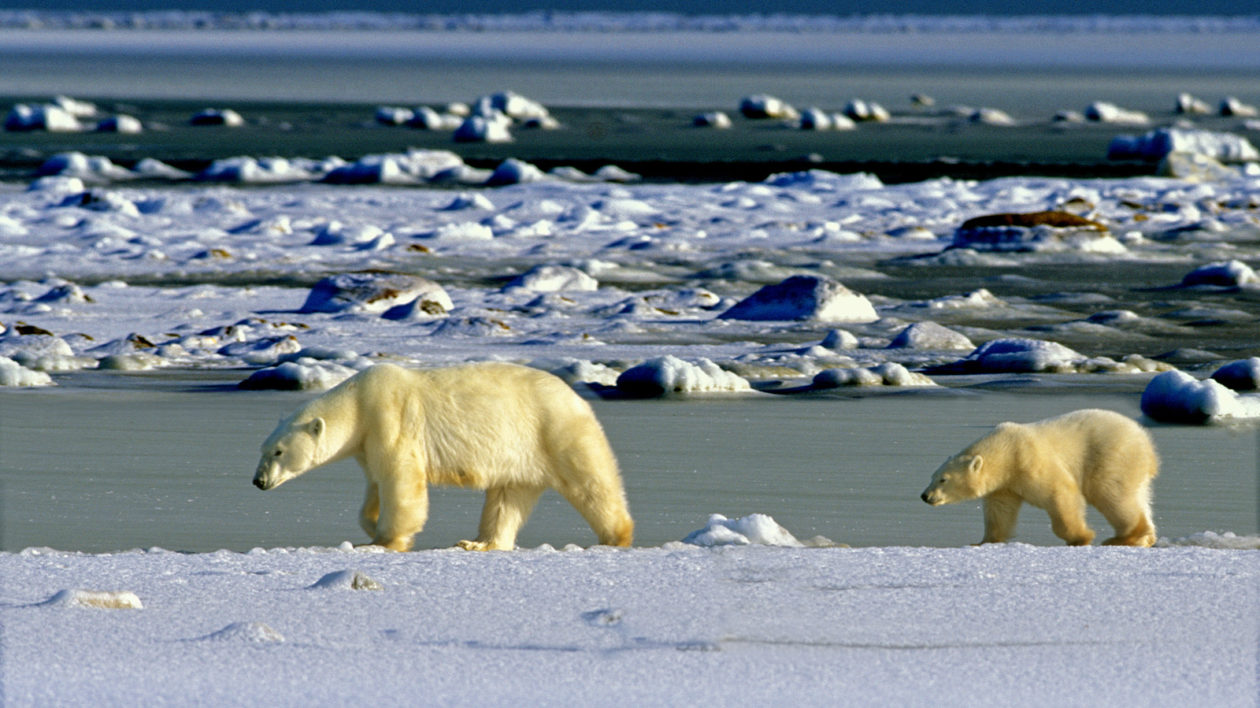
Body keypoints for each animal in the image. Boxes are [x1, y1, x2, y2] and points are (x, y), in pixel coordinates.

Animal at [252, 360, 635, 549]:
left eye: (278, 451)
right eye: (263, 448)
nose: (258, 480)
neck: (357, 401)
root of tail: (578, 398)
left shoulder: (389, 418)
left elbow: (401, 479)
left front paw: (386, 540)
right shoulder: (367, 441)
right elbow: (375, 483)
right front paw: (372, 526)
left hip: (555, 431)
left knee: (592, 484)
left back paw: (616, 536)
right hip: (520, 455)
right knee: (506, 500)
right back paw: (478, 543)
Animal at [922, 408, 1154, 546]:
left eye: (943, 479)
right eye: (932, 475)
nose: (925, 496)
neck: (1006, 452)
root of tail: (1145, 440)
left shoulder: (1029, 460)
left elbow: (1060, 492)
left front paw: (1081, 537)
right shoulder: (1005, 485)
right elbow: (1000, 511)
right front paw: (983, 542)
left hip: (1111, 456)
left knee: (1111, 493)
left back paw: (1124, 537)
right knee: (1137, 496)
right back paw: (1144, 538)